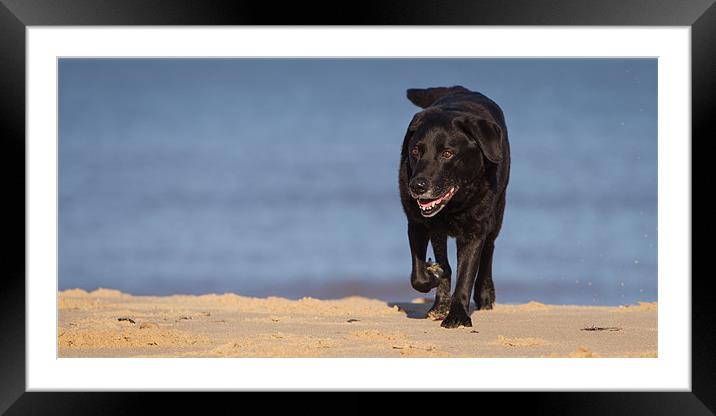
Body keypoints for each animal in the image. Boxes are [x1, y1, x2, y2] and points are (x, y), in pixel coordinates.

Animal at [398, 86, 510, 328]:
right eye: (415, 151)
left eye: (447, 153)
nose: (417, 186)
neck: (453, 204)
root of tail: (462, 89)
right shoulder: (417, 223)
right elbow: (418, 276)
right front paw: (433, 274)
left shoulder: (474, 231)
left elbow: (466, 275)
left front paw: (457, 315)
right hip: (437, 231)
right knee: (445, 260)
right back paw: (439, 303)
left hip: (497, 214)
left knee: (489, 249)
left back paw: (485, 294)